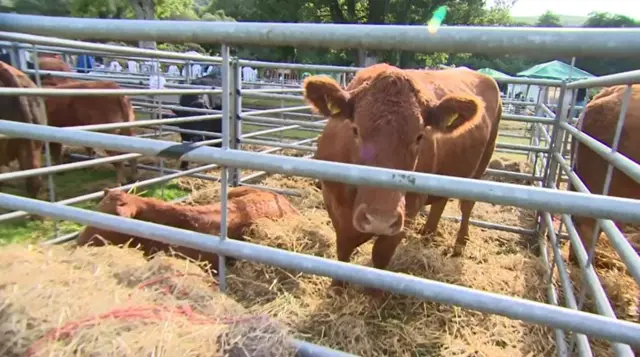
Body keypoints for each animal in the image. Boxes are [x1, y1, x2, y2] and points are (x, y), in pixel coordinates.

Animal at [302, 63, 502, 292]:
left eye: (419, 136)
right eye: (355, 130)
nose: (380, 219)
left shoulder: (408, 209)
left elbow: (381, 253)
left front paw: (374, 292)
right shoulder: (333, 198)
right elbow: (344, 245)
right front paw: (337, 286)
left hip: (481, 166)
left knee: (467, 206)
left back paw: (459, 245)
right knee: (440, 202)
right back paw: (427, 234)